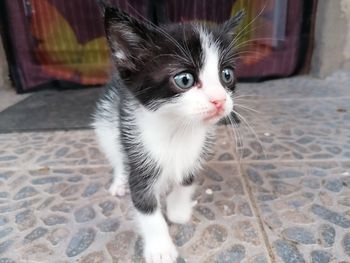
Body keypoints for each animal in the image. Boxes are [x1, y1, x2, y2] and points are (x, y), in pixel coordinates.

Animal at [93, 5, 243, 263]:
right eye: (185, 79)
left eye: (226, 75)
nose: (220, 100)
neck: (177, 128)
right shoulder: (138, 148)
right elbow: (145, 205)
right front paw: (160, 248)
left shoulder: (196, 150)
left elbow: (186, 179)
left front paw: (178, 210)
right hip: (108, 119)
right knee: (116, 152)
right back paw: (120, 180)